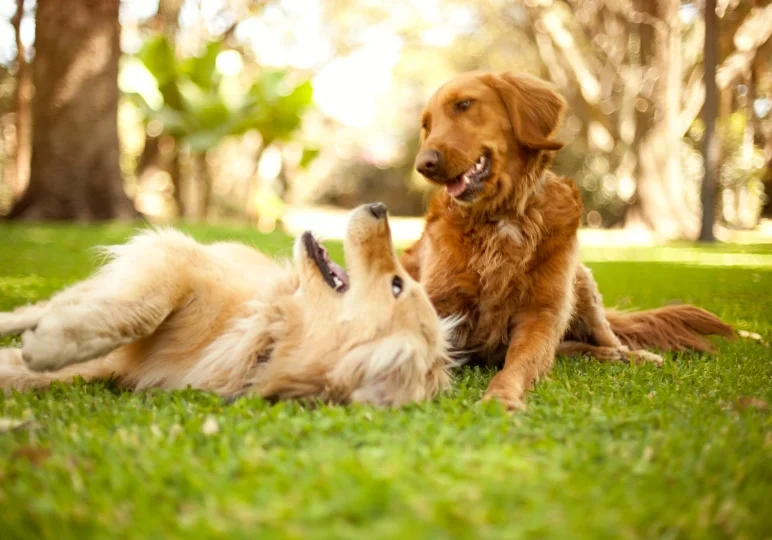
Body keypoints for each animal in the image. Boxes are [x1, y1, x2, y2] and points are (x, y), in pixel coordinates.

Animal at [0, 205, 456, 408]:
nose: (379, 207)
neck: (267, 333)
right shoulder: (176, 259)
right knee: (43, 307)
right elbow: (142, 311)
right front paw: (52, 345)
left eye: (397, 285)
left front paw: (30, 358)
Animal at [402, 73, 732, 410]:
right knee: (572, 348)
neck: (502, 217)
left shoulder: (541, 315)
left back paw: (633, 355)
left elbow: (519, 365)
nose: (423, 164)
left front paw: (500, 398)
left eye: (464, 104)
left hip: (582, 285)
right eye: (427, 125)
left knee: (608, 338)